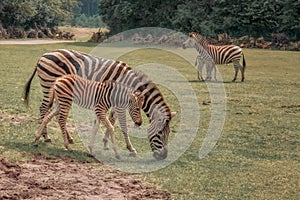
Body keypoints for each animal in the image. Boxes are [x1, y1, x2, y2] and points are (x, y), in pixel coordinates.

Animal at [25, 49, 177, 160]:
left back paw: (67, 138)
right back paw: (45, 136)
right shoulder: (118, 101)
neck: (129, 82)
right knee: (44, 108)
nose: (164, 156)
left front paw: (105, 142)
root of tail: (43, 55)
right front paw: (131, 148)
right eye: (160, 133)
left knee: (53, 112)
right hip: (49, 84)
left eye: (169, 132)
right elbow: (121, 124)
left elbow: (111, 121)